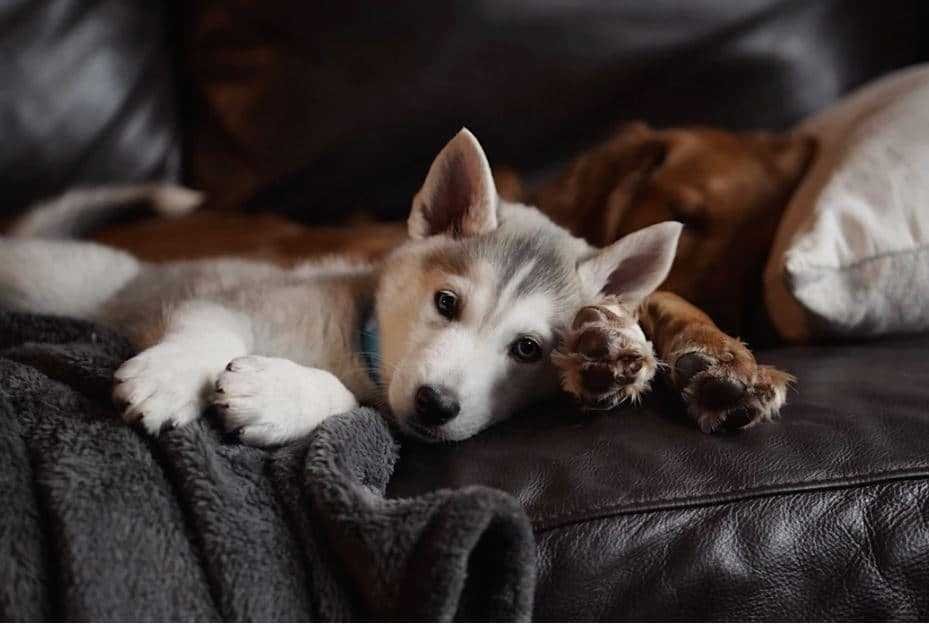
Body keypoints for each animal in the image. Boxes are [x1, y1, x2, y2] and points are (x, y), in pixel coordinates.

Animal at [0, 130, 680, 444]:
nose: (436, 405)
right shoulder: (234, 295)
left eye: (528, 349)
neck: (358, 345)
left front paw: (277, 394)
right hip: (58, 279)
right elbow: (209, 328)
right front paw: (170, 378)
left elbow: (351, 403)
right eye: (446, 302)